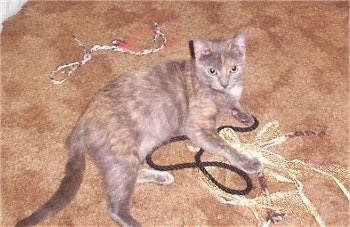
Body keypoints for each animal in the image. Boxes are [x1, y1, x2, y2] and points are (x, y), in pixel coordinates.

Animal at [16, 32, 262, 226]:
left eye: (233, 68)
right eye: (212, 71)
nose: (225, 83)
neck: (218, 93)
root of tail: (79, 126)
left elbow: (235, 105)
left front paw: (245, 116)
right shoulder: (196, 126)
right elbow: (224, 146)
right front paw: (249, 162)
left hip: (140, 144)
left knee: (129, 174)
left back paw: (161, 176)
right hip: (123, 149)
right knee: (116, 204)